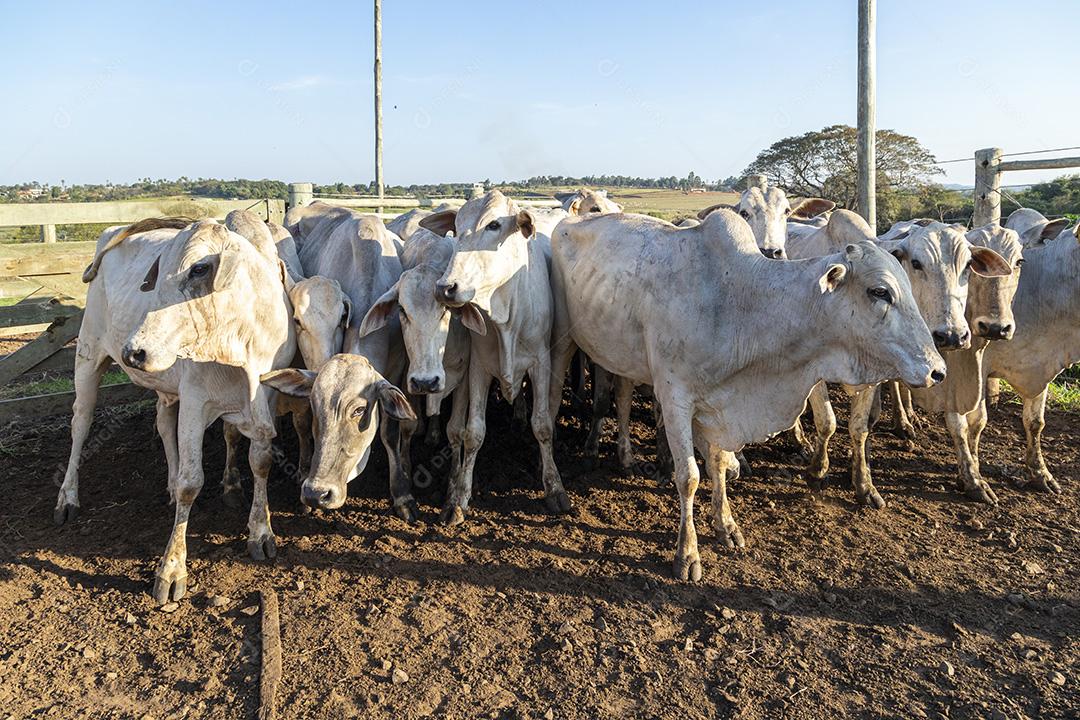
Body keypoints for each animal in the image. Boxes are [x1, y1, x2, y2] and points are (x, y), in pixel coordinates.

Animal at [57, 218, 295, 604]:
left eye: (199, 268)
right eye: (158, 275)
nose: (134, 352)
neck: (241, 347)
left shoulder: (266, 400)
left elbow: (260, 463)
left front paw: (261, 532)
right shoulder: (196, 401)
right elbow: (190, 483)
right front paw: (171, 569)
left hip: (165, 383)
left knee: (163, 421)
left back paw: (166, 483)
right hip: (88, 354)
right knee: (81, 423)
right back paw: (67, 497)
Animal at [418, 190, 571, 523]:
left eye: (494, 225)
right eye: (456, 227)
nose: (445, 287)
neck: (507, 315)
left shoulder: (541, 362)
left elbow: (543, 425)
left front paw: (554, 488)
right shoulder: (479, 367)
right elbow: (473, 432)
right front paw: (458, 499)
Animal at [548, 209, 945, 580]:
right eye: (880, 291)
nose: (937, 370)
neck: (741, 302)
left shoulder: (719, 404)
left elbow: (719, 465)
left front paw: (726, 525)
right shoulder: (676, 397)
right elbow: (689, 477)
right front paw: (687, 554)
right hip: (565, 345)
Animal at [907, 224, 1024, 503]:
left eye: (1019, 262)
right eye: (916, 263)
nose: (996, 327)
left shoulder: (979, 371)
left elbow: (979, 421)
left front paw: (974, 468)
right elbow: (958, 425)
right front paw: (972, 481)